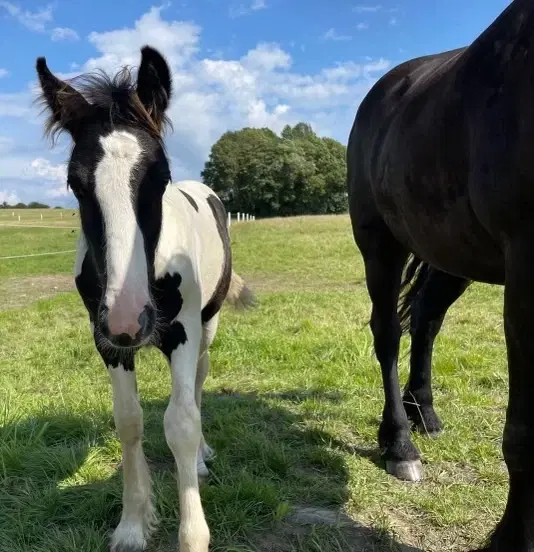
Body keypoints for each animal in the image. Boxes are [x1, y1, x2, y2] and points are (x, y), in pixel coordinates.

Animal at [36, 47, 258, 552]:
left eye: (160, 178)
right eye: (75, 183)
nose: (129, 319)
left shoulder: (182, 332)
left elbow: (181, 423)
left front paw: (192, 536)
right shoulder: (107, 341)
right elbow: (129, 421)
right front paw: (133, 525)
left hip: (207, 325)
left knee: (198, 383)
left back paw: (202, 458)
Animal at [350, 1, 534, 552]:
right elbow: (525, 433)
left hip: (453, 254)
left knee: (427, 320)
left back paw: (423, 412)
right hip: (379, 243)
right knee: (389, 333)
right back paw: (400, 444)